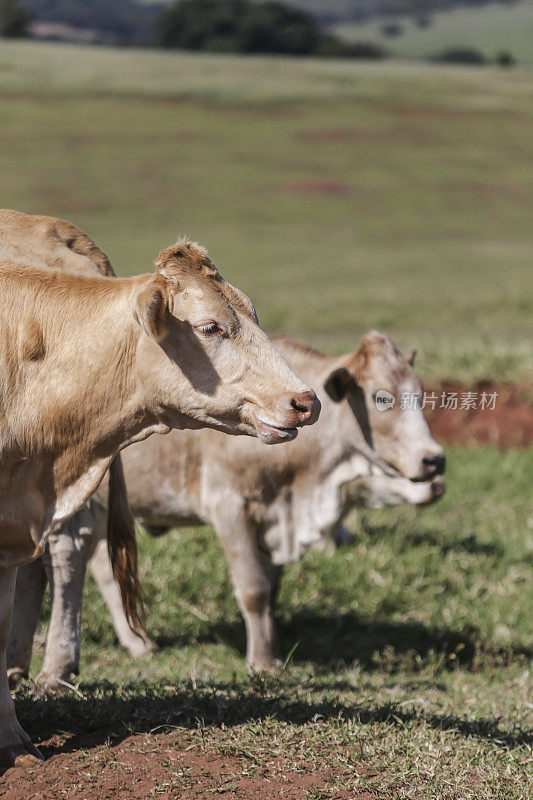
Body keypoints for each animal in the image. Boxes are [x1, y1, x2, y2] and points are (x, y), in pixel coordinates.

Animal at [8, 332, 444, 688]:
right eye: (382, 398)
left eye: (421, 394)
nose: (435, 461)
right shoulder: (230, 507)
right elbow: (253, 589)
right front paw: (260, 664)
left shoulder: (273, 520)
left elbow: (271, 590)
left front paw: (272, 652)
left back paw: (129, 641)